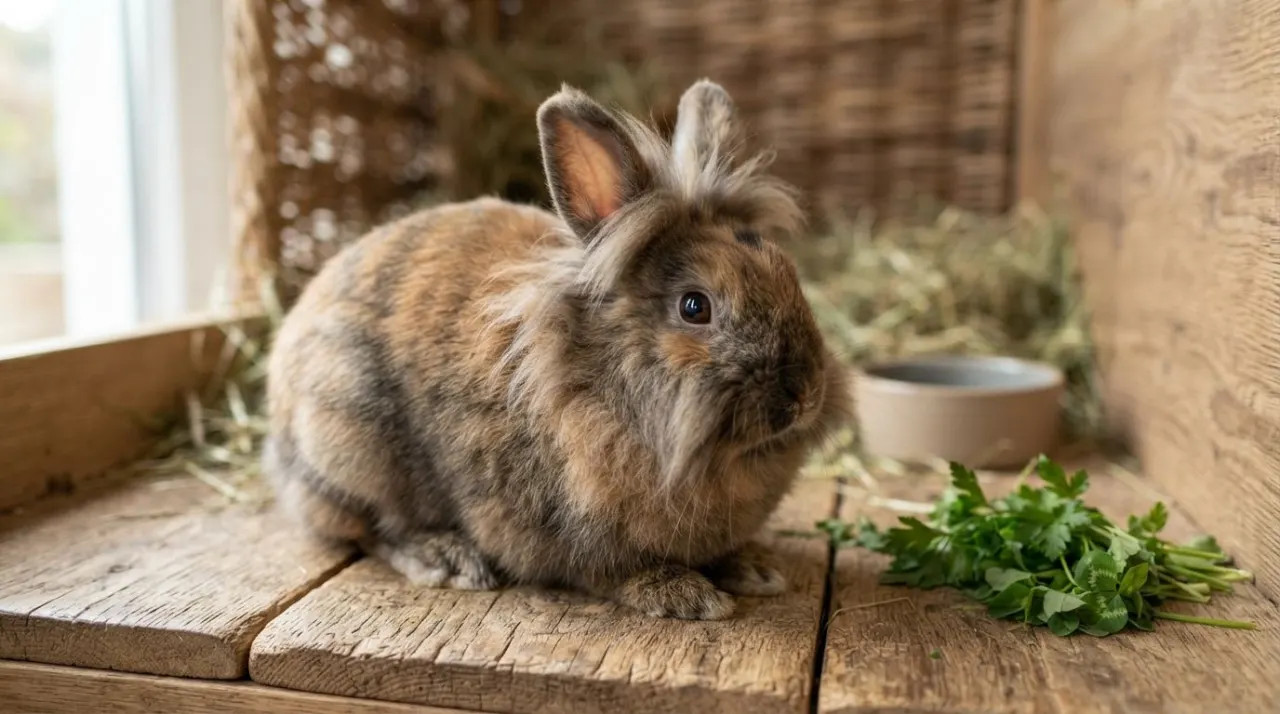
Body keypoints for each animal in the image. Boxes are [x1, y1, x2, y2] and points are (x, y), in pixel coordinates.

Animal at [262, 78, 853, 620]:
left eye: (788, 273)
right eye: (694, 307)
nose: (805, 395)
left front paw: (755, 569)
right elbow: (610, 570)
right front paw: (685, 595)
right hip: (347, 436)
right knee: (369, 528)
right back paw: (446, 558)